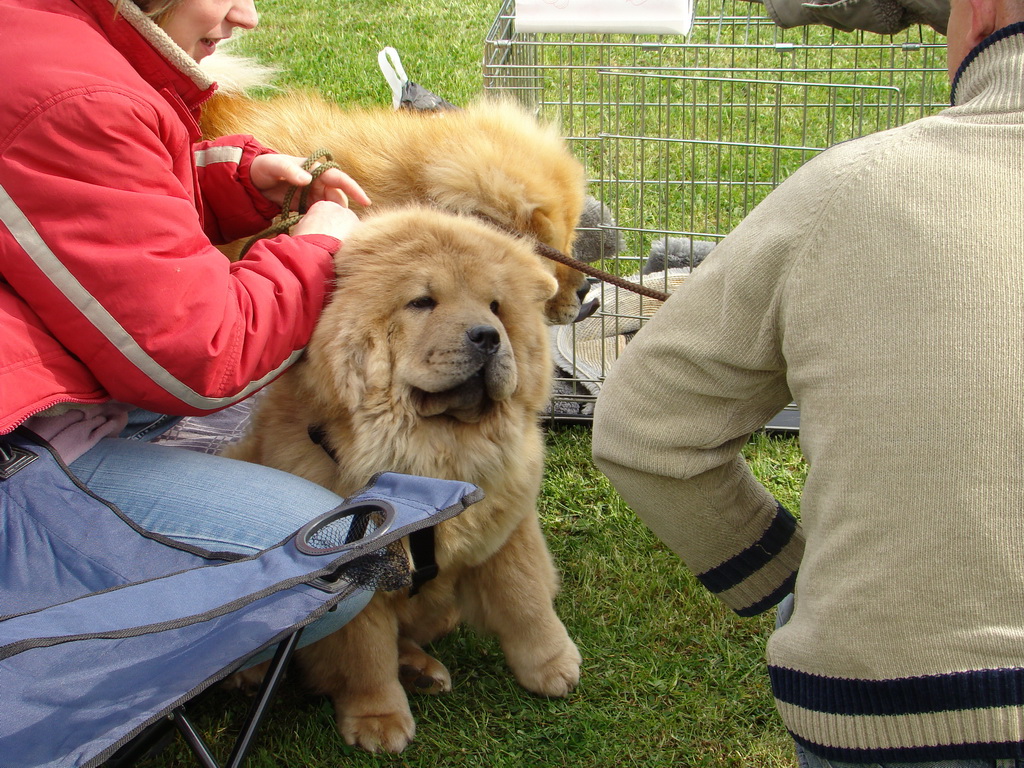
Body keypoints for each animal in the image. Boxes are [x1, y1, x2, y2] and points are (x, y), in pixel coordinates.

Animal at [227, 207, 581, 753]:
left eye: (496, 307)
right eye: (422, 301)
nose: (488, 335)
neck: (432, 463)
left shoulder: (508, 527)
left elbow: (526, 599)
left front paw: (552, 665)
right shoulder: (351, 567)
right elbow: (363, 650)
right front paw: (378, 718)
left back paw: (418, 668)